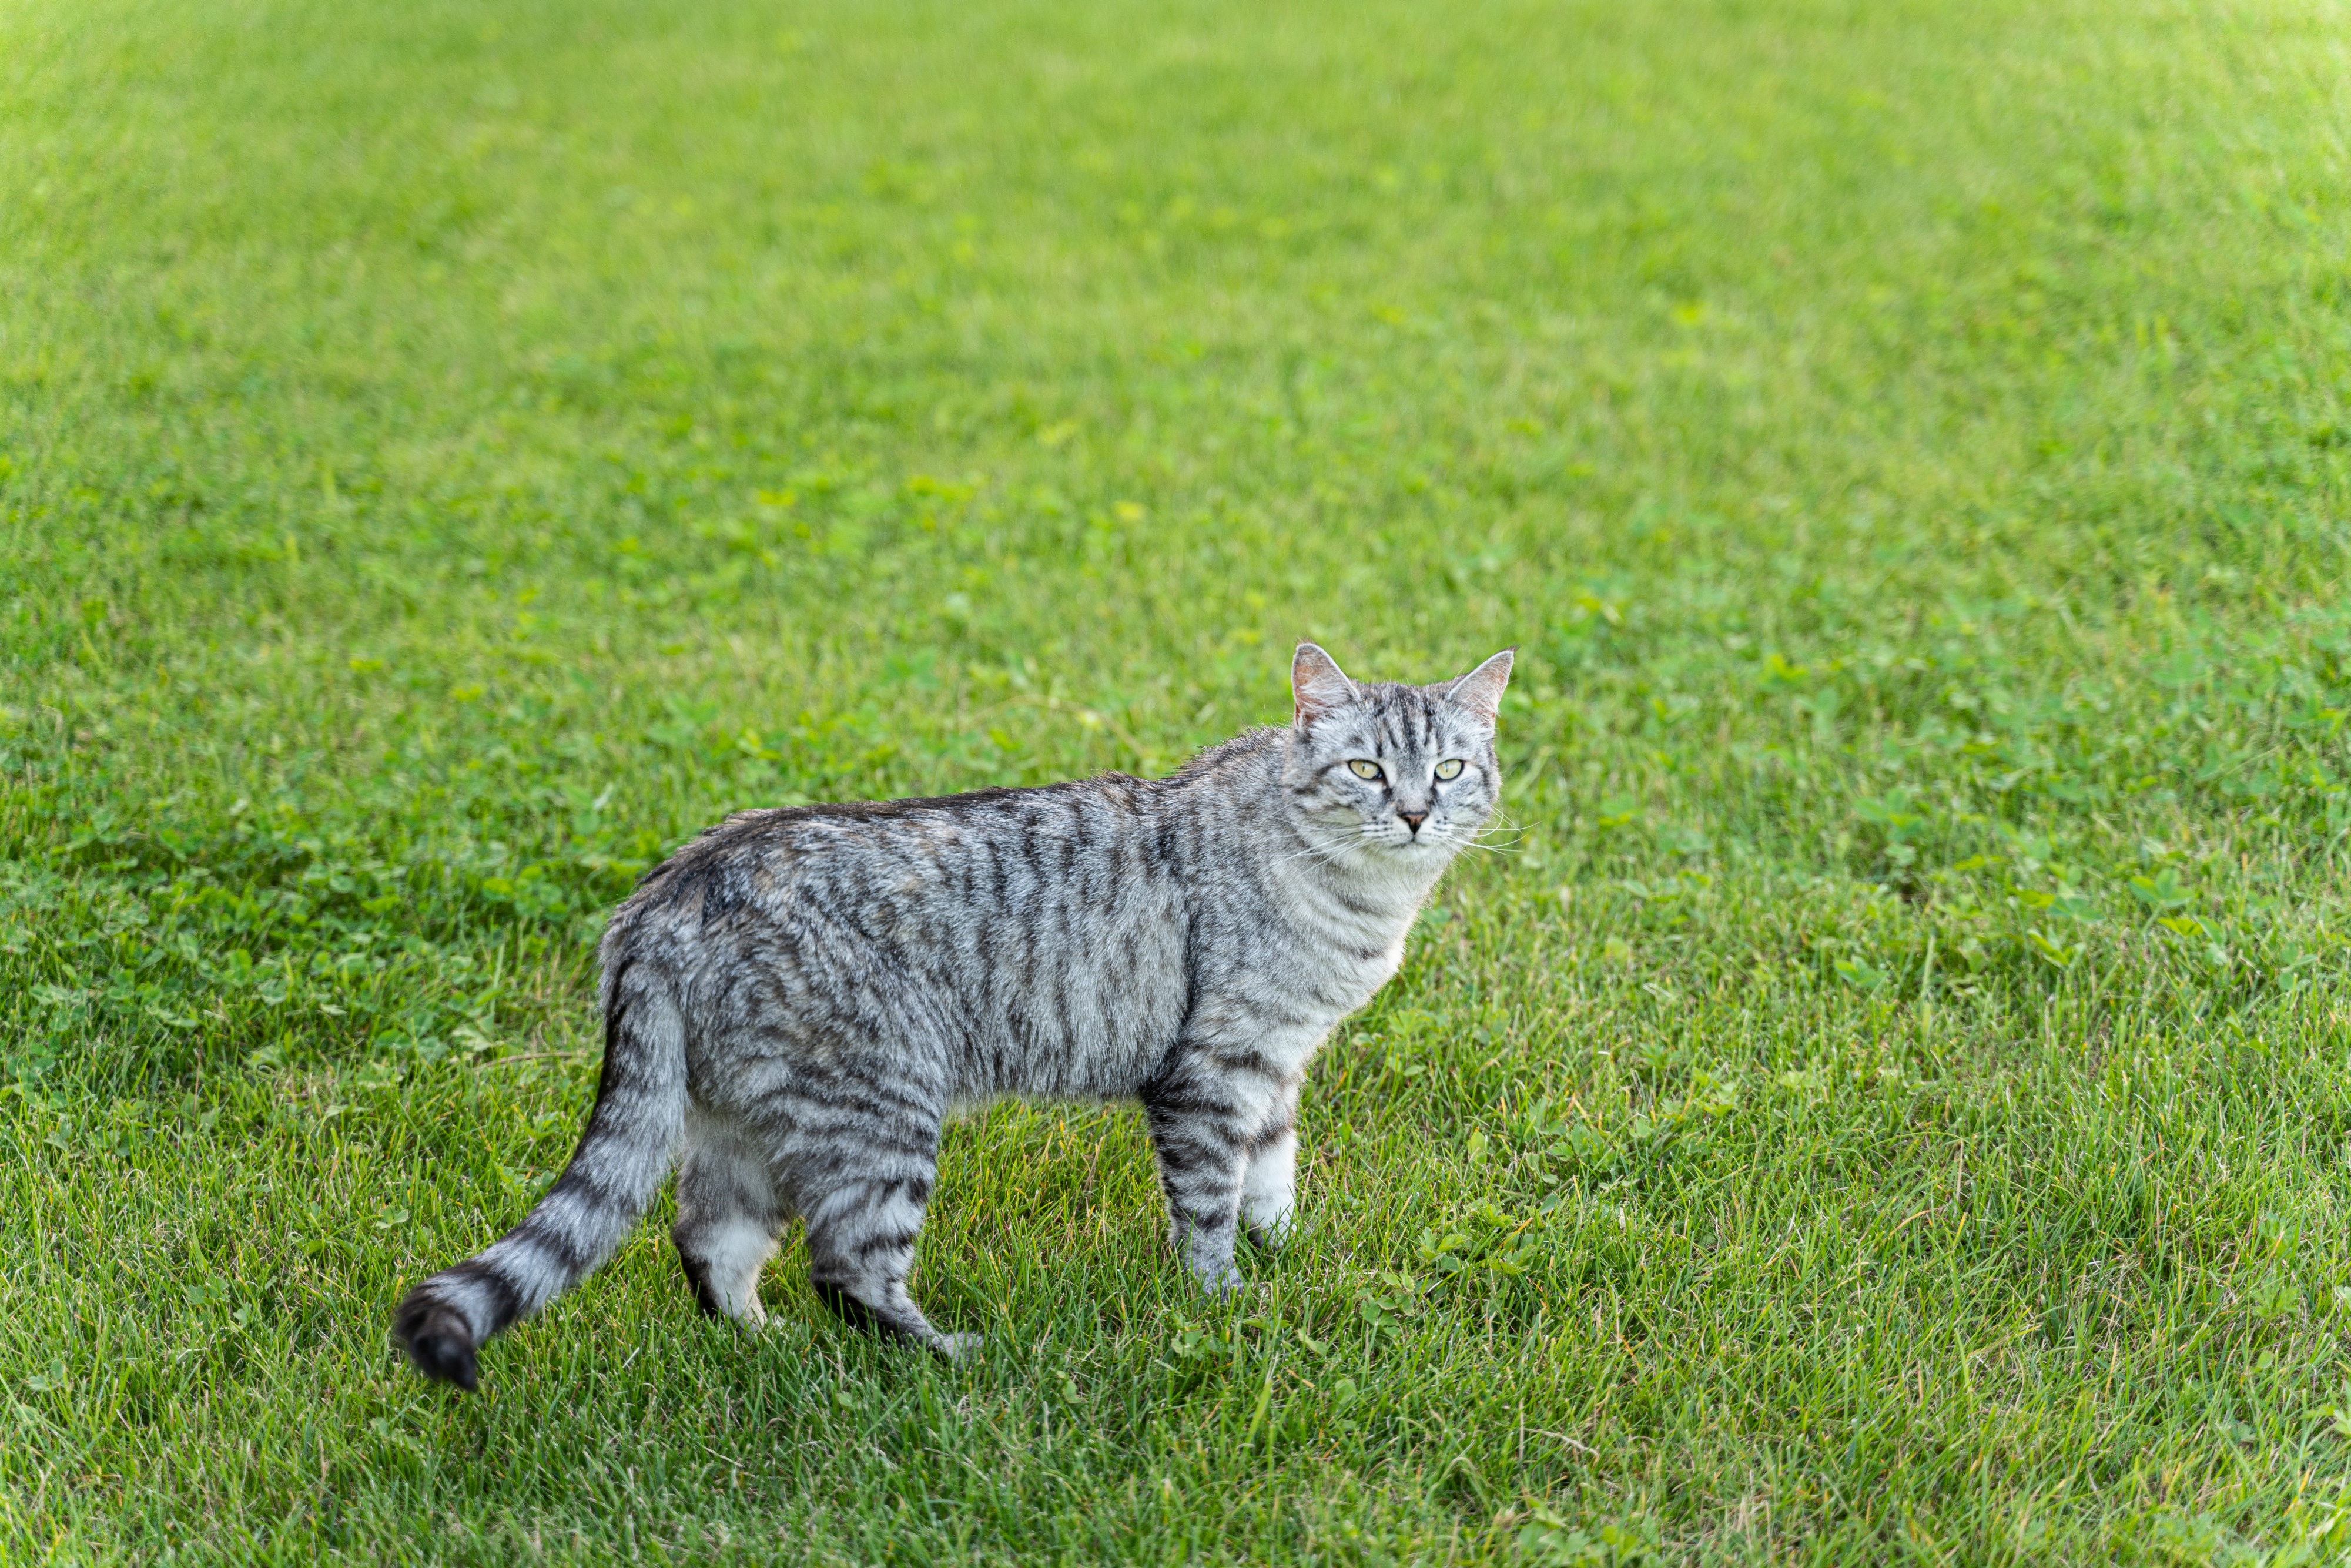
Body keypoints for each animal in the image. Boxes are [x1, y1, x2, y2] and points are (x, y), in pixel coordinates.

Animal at [395, 644, 1514, 1392]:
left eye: (1450, 769)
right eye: (1367, 769)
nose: (1416, 812)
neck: (1362, 901)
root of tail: (664, 896)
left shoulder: (1276, 1063)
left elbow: (1272, 1175)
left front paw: (1281, 1255)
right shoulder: (1212, 1068)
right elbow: (1208, 1204)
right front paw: (1224, 1300)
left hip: (745, 1124)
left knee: (710, 1244)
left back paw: (761, 1344)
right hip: (878, 1113)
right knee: (845, 1269)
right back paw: (947, 1356)